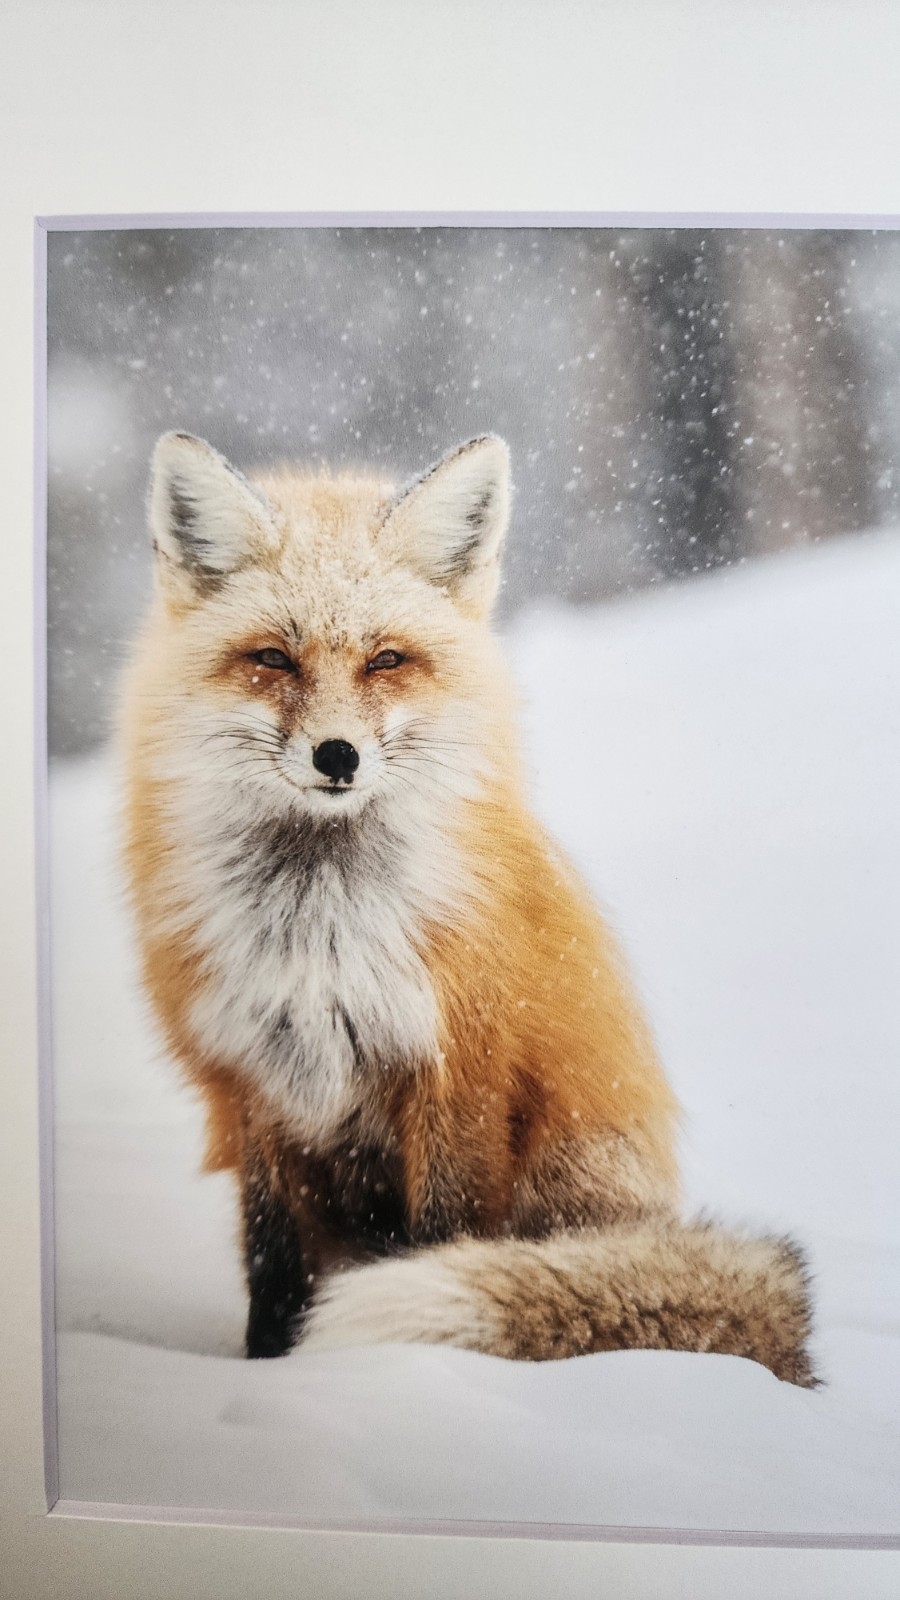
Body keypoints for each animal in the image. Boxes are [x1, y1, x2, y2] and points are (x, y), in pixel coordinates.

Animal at [120, 429, 816, 1385]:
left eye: (386, 659)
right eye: (273, 659)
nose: (337, 755)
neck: (320, 934)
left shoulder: (461, 1076)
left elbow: (443, 1235)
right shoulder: (252, 1085)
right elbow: (273, 1263)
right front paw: (269, 1372)